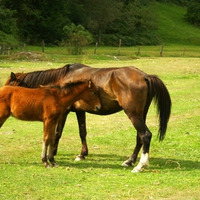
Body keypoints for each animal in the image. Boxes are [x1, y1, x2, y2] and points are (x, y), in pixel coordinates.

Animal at [4, 63, 171, 172]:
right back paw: (129, 161)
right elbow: (82, 132)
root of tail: (144, 76)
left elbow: (57, 133)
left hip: (133, 115)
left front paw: (54, 154)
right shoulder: (80, 111)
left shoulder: (64, 112)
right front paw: (82, 154)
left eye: (10, 84)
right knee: (139, 138)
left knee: (145, 135)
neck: (63, 79)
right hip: (140, 114)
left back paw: (140, 165)